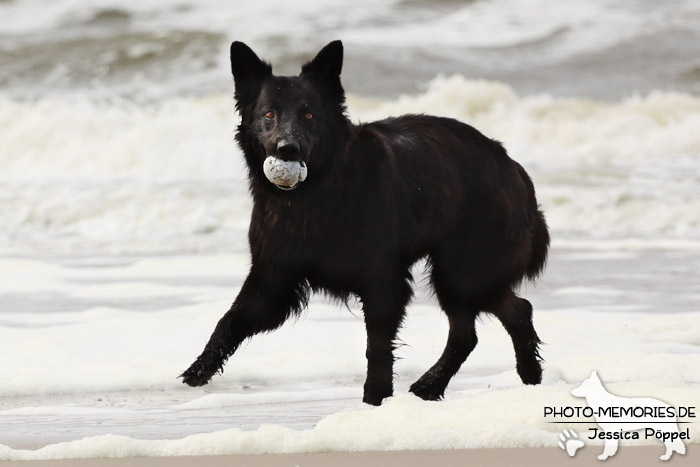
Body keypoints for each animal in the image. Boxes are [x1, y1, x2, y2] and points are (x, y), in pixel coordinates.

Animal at [179, 41, 548, 406]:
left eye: (309, 115)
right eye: (269, 114)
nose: (288, 149)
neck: (314, 197)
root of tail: (512, 165)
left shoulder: (383, 282)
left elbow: (378, 350)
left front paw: (375, 401)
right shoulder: (273, 277)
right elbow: (229, 321)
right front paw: (198, 370)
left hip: (461, 271)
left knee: (500, 317)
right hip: (461, 275)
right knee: (490, 323)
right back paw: (462, 383)